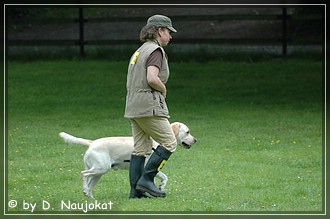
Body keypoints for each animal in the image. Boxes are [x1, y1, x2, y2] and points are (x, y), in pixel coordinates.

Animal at [59, 122, 196, 199]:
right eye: (187, 132)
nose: (196, 140)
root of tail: (92, 142)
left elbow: (162, 178)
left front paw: (159, 188)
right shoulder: (149, 167)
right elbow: (163, 177)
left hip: (98, 173)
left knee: (89, 186)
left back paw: (91, 199)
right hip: (101, 169)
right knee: (83, 175)